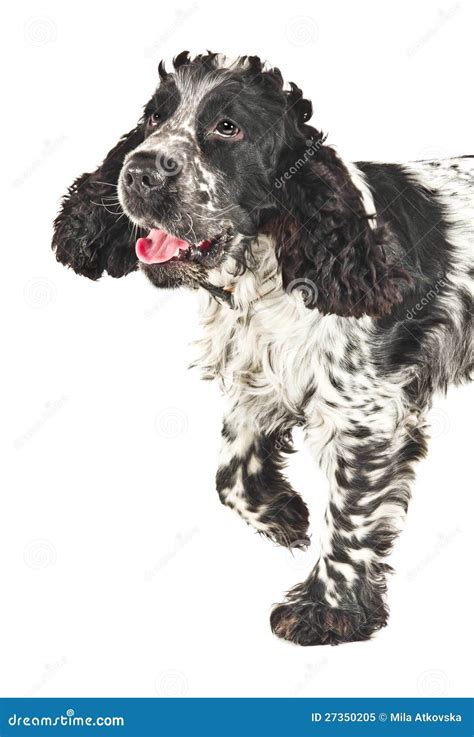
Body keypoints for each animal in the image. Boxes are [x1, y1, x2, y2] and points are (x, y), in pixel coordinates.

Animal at [50, 51, 472, 644]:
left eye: (228, 127)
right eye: (154, 118)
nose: (138, 172)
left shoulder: (363, 413)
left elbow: (349, 515)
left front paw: (327, 611)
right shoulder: (264, 378)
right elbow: (230, 474)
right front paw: (286, 515)